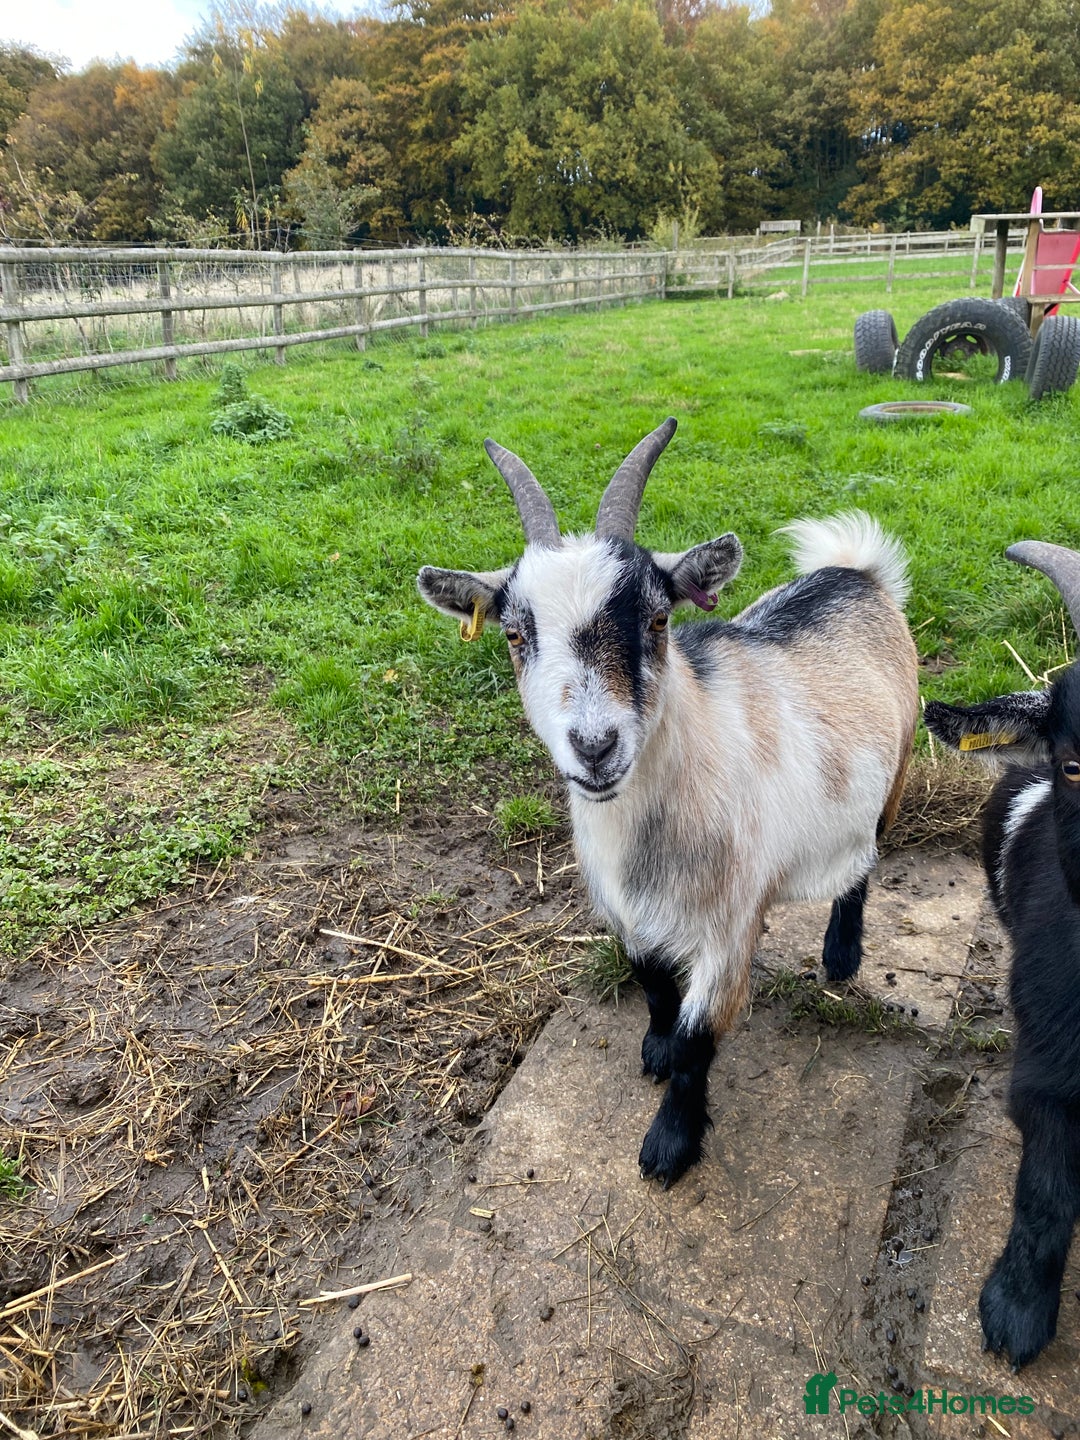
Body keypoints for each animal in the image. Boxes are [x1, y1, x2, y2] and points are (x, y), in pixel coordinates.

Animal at [418, 418, 918, 1186]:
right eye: (514, 635)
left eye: (657, 621)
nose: (595, 746)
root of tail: (857, 574)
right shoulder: (626, 910)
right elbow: (651, 983)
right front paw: (651, 1048)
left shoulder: (730, 925)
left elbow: (697, 1038)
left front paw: (669, 1145)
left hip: (895, 772)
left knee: (865, 861)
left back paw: (840, 955)